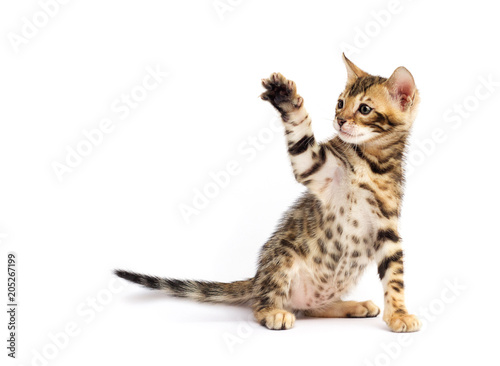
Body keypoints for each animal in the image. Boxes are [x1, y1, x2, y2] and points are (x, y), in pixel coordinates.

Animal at [114, 54, 422, 332]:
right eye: (340, 103)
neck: (372, 163)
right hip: (283, 256)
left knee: (312, 308)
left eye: (365, 109)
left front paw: (399, 314)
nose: (340, 120)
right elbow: (301, 136)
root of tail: (257, 278)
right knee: (262, 304)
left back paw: (352, 305)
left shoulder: (387, 228)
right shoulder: (313, 166)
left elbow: (395, 277)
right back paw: (274, 313)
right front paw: (285, 98)